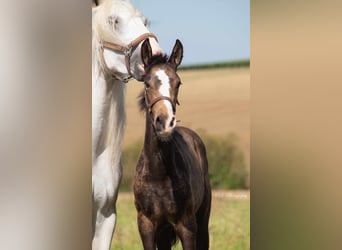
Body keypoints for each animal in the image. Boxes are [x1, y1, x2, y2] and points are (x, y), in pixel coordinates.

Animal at [133, 38, 211, 249]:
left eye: (178, 83)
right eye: (146, 83)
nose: (165, 122)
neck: (159, 172)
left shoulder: (187, 226)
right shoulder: (146, 226)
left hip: (202, 221)